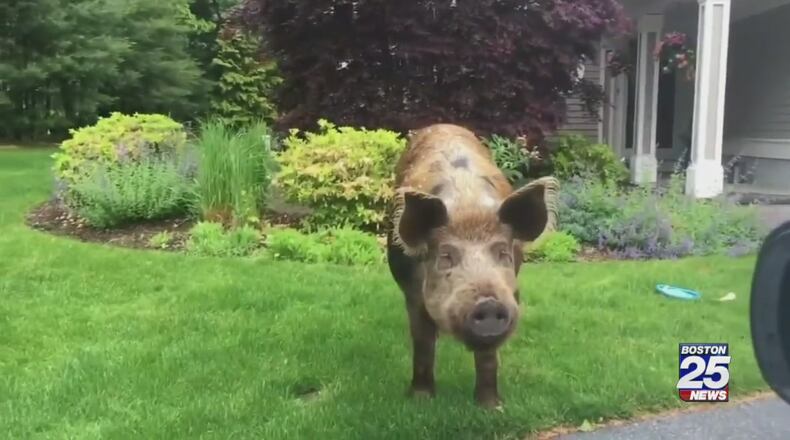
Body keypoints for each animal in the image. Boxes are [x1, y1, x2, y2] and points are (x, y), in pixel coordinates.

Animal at [385, 123, 559, 408]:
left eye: (503, 254)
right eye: (446, 256)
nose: (488, 303)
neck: (468, 207)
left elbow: (488, 357)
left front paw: (491, 407)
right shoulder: (412, 293)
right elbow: (422, 343)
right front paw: (420, 400)